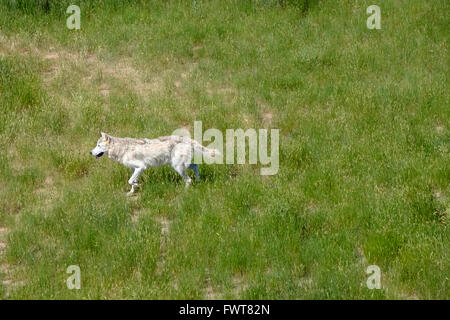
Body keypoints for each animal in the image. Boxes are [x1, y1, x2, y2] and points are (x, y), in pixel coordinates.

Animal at [89, 132, 218, 195]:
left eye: (98, 145)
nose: (90, 152)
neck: (121, 149)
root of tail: (185, 138)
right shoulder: (134, 169)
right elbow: (131, 182)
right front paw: (132, 192)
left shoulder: (141, 167)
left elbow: (130, 181)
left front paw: (138, 185)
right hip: (179, 165)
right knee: (196, 166)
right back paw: (199, 180)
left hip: (177, 167)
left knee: (189, 180)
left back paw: (185, 191)